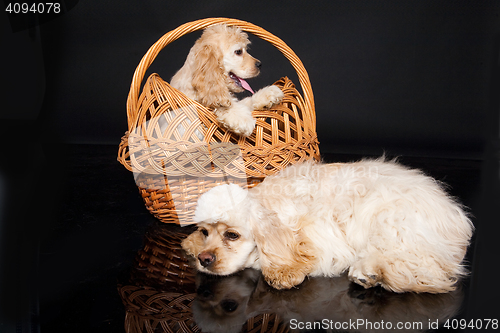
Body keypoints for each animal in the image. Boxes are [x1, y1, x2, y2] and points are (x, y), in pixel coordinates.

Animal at [182, 158, 474, 290]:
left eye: (232, 235)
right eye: (204, 232)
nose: (204, 259)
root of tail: (456, 218)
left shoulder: (325, 242)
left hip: (391, 221)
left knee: (419, 269)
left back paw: (369, 272)